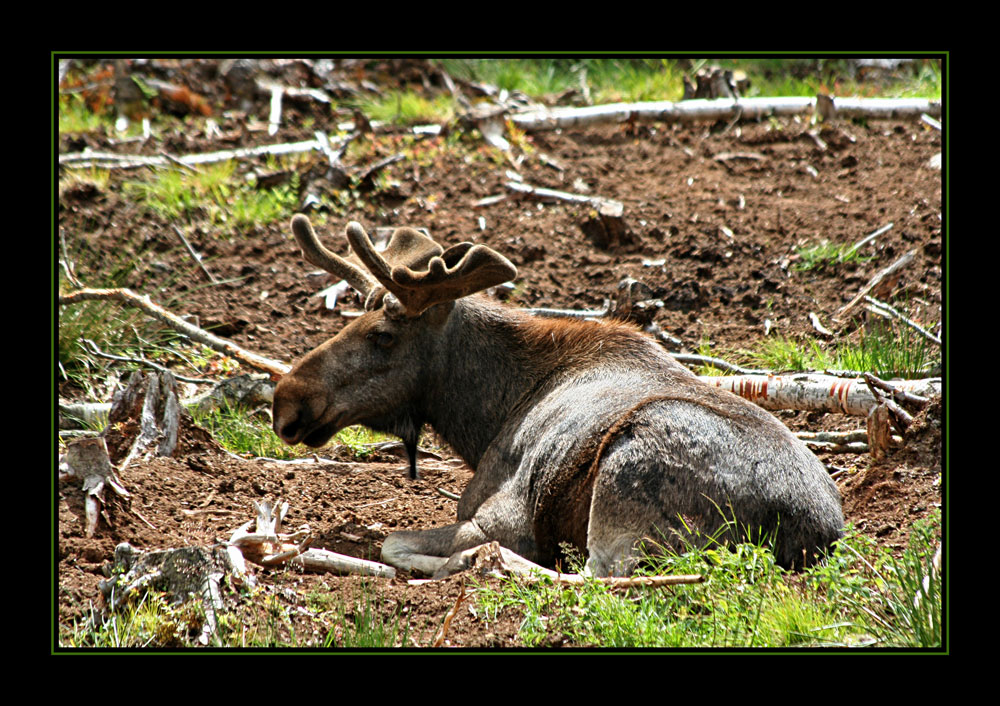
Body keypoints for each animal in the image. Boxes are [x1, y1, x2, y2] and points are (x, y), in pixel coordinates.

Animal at [272, 216, 844, 576]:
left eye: (383, 335)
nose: (285, 401)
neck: (483, 416)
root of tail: (816, 531)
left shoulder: (500, 515)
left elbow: (395, 540)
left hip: (625, 491)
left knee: (598, 576)